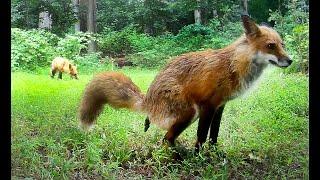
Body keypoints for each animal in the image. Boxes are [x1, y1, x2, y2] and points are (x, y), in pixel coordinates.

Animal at [78, 14, 292, 151]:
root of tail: (147, 99)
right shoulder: (207, 105)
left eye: (282, 44)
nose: (290, 60)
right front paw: (200, 158)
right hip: (190, 112)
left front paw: (215, 154)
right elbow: (202, 136)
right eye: (270, 46)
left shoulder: (220, 106)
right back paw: (180, 156)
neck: (233, 65)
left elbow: (214, 135)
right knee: (166, 139)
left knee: (167, 138)